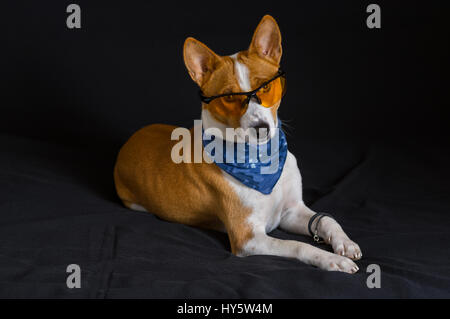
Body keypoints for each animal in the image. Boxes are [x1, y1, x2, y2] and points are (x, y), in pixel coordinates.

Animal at [113, 15, 362, 274]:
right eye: (230, 97)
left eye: (265, 87)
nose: (261, 128)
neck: (261, 160)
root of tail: (131, 139)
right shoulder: (248, 238)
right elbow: (297, 245)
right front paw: (330, 259)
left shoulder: (291, 212)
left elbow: (326, 219)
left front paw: (343, 243)